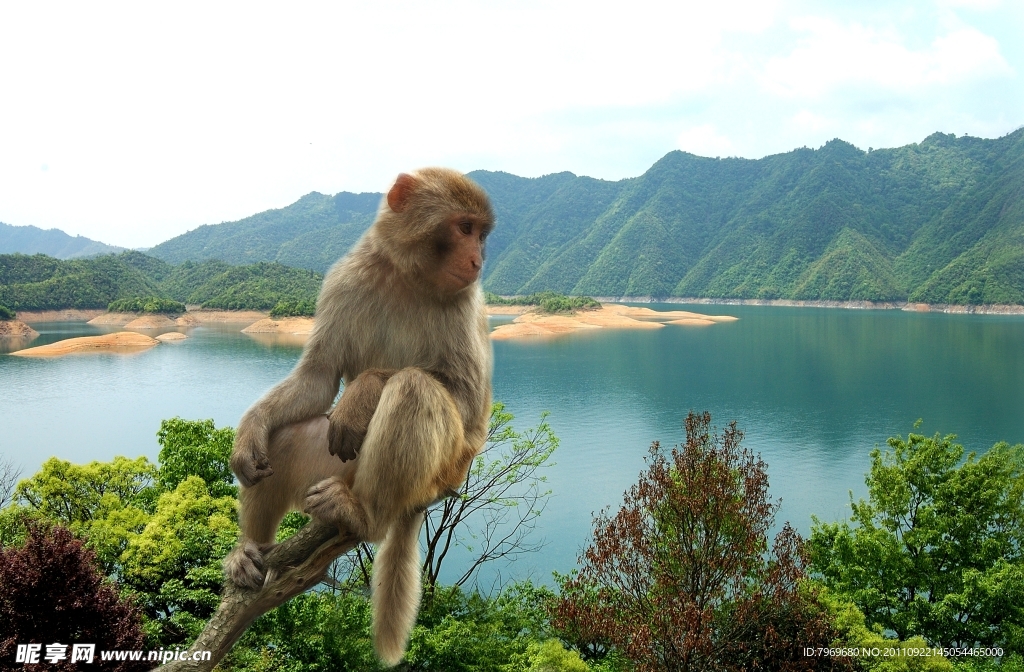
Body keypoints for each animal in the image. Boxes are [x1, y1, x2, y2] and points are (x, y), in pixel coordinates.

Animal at [225, 168, 495, 667]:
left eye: (480, 233)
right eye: (465, 228)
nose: (478, 259)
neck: (406, 276)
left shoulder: (467, 300)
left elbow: (468, 401)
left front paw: (365, 390)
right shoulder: (344, 279)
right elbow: (317, 377)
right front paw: (250, 432)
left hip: (445, 467)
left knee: (414, 388)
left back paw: (366, 516)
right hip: (341, 466)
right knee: (288, 439)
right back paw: (250, 550)